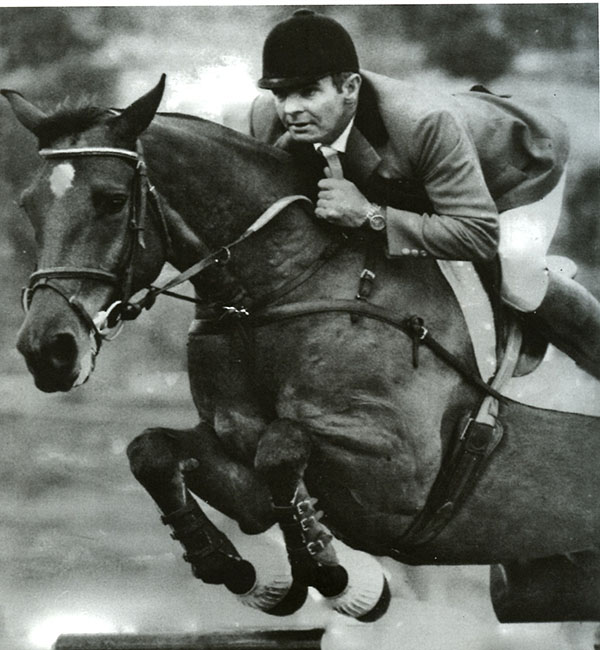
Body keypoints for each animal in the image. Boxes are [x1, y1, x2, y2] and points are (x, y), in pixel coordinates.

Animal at [4, 73, 600, 620]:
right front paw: (240, 569)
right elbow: (155, 452)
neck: (281, 286)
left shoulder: (402, 478)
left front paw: (337, 575)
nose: (47, 351)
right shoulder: (231, 439)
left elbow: (284, 446)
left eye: (112, 200)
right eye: (28, 206)